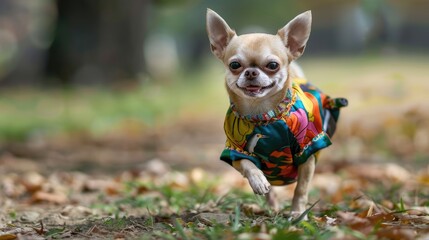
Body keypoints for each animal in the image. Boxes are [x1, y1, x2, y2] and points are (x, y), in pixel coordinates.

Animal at [206, 8, 346, 217]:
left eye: (272, 65)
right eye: (234, 65)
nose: (251, 72)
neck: (263, 116)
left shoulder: (307, 152)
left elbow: (301, 189)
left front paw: (297, 212)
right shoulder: (234, 151)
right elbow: (248, 165)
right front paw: (258, 180)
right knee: (270, 191)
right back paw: (271, 206)